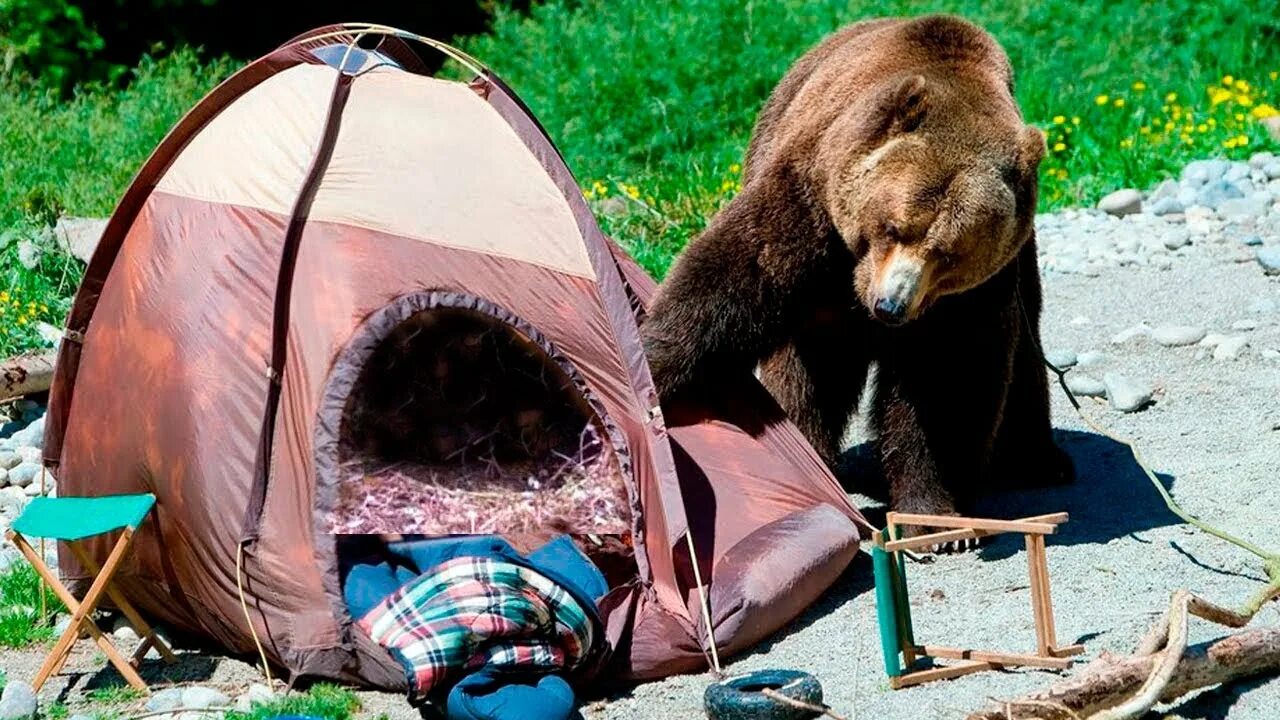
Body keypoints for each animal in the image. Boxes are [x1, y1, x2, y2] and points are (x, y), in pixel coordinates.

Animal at [645, 14, 1075, 538]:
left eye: (949, 254)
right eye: (895, 226)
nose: (890, 306)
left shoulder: (970, 293)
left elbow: (943, 377)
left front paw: (932, 520)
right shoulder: (814, 202)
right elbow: (736, 279)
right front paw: (654, 370)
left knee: (1025, 357)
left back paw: (1038, 460)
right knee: (805, 374)